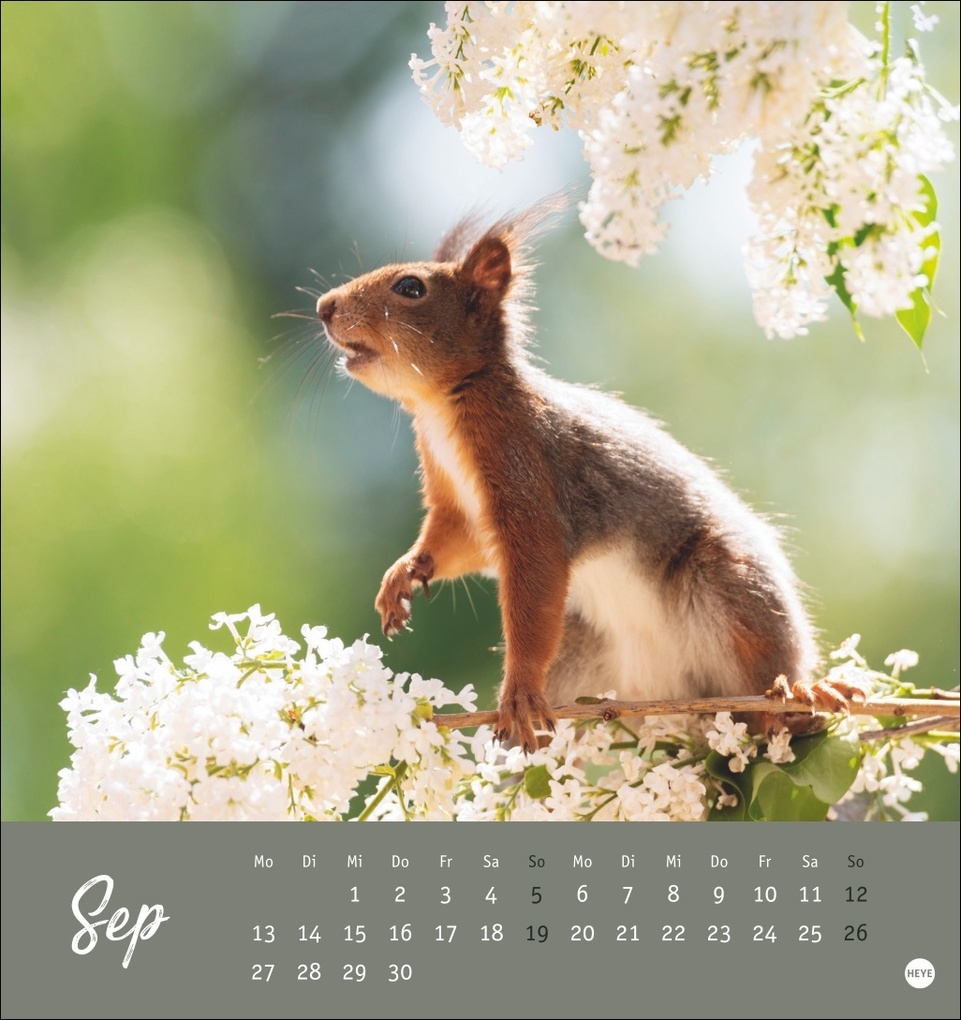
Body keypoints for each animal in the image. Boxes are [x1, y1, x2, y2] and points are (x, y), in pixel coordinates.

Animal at [317, 199, 839, 753]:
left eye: (411, 288)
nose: (324, 306)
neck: (442, 409)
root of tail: (669, 696)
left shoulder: (529, 476)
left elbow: (535, 585)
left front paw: (520, 692)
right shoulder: (459, 505)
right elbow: (453, 541)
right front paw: (405, 572)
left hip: (729, 587)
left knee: (765, 662)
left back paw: (792, 704)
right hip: (583, 651)